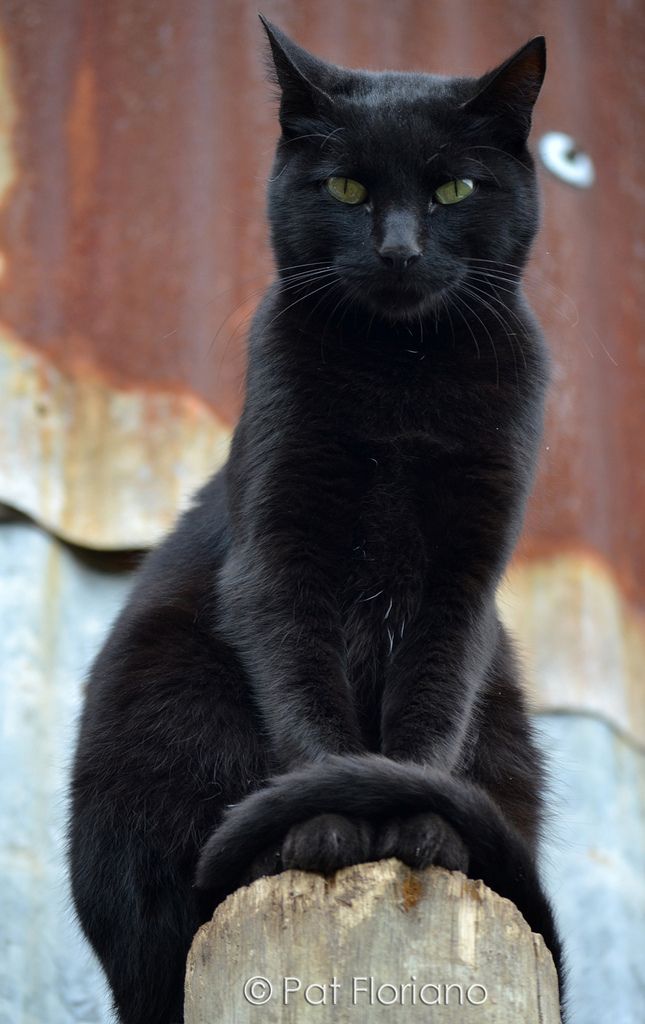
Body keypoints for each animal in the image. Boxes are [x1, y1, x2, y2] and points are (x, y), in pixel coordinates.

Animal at [68, 18, 565, 1024]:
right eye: (345, 189)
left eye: (452, 189)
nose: (399, 250)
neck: (403, 373)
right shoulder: (279, 556)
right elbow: (308, 708)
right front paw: (333, 825)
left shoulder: (463, 578)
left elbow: (427, 714)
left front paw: (415, 826)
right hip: (173, 685)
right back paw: (288, 843)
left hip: (506, 723)